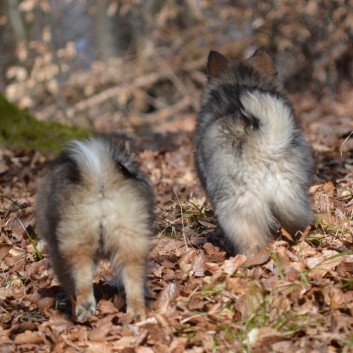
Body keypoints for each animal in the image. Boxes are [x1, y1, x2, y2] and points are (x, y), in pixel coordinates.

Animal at [35, 136, 154, 320]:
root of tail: (100, 182)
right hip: (130, 241)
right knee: (133, 281)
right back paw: (135, 312)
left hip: (76, 243)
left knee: (82, 278)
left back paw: (83, 307)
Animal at [195, 47, 314, 256]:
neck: (239, 83)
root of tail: (263, 145)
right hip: (290, 195)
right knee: (299, 223)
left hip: (237, 205)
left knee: (251, 240)